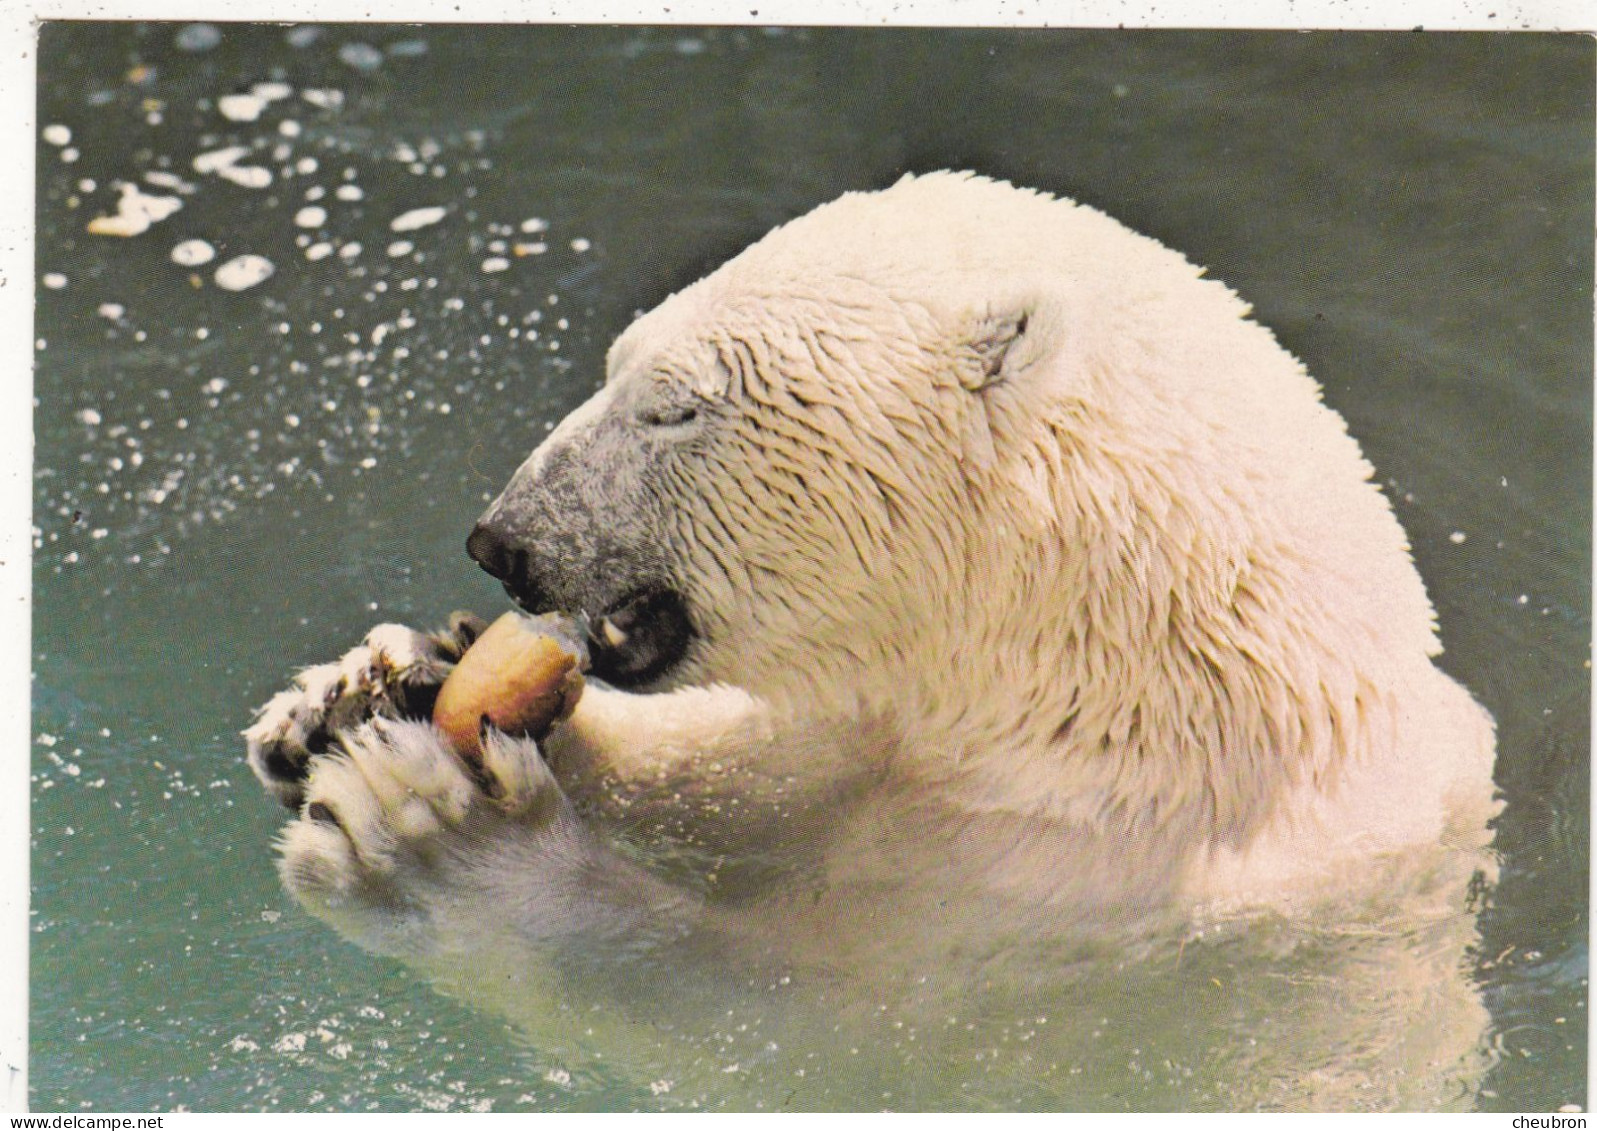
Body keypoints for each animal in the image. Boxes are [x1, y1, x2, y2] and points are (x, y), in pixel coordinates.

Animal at [245, 170, 1494, 1092]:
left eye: (672, 406)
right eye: (613, 368)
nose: (501, 542)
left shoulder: (1088, 896)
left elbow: (813, 1031)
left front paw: (426, 841)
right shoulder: (876, 754)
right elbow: (737, 775)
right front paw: (368, 686)